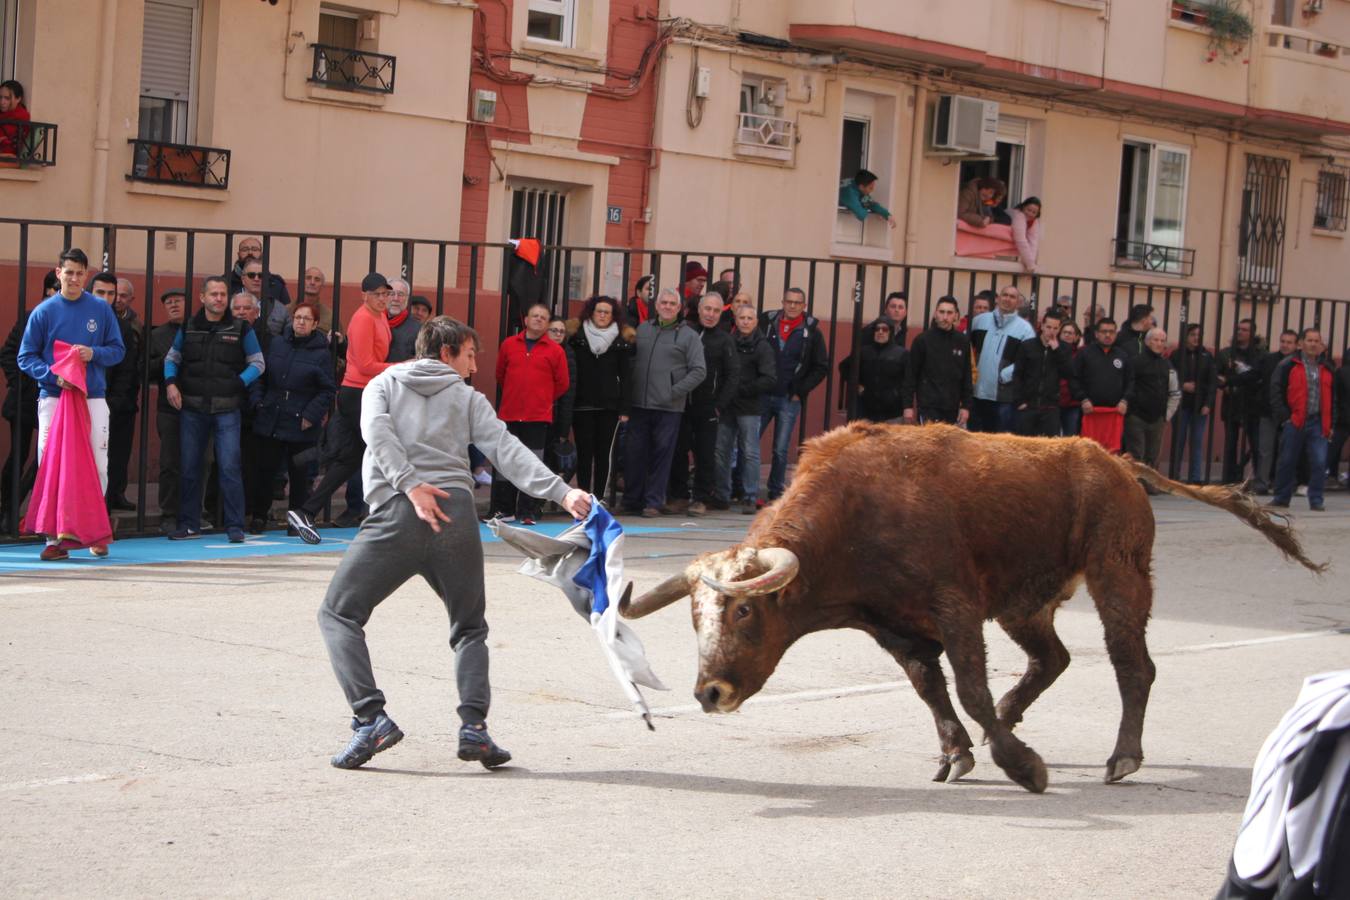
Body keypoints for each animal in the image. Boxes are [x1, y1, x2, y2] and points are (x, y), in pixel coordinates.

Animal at [618, 423, 1323, 793]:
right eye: (694, 617)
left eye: (742, 612)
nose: (709, 692)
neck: (856, 515)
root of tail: (1113, 460)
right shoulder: (898, 630)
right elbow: (934, 691)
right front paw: (960, 752)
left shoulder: (955, 609)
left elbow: (970, 688)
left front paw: (1024, 765)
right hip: (1025, 605)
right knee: (1052, 659)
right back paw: (1014, 722)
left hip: (1117, 575)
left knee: (1132, 666)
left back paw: (1121, 757)